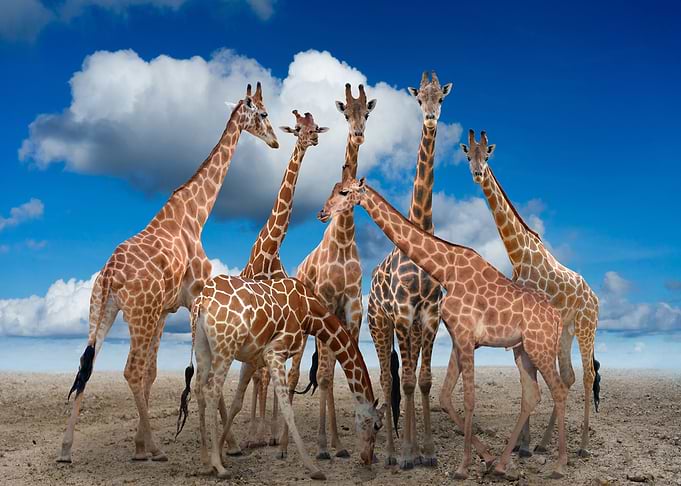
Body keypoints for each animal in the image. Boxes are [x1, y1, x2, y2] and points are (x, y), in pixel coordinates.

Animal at [57, 82, 279, 464]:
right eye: (263, 113)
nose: (276, 140)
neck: (195, 213)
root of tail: (109, 274)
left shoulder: (164, 311)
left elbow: (153, 373)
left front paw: (138, 445)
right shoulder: (193, 298)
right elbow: (197, 371)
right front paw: (228, 444)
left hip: (103, 311)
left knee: (88, 367)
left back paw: (67, 449)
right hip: (138, 313)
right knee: (129, 369)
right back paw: (159, 449)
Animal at [176, 276, 385, 480]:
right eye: (376, 425)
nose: (367, 458)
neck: (310, 312)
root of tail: (201, 301)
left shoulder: (253, 359)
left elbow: (237, 403)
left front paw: (222, 452)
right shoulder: (275, 352)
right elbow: (288, 408)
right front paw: (313, 468)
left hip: (203, 347)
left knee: (199, 390)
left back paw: (205, 463)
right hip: (226, 347)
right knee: (212, 391)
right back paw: (218, 468)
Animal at [237, 110, 329, 450]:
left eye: (315, 126)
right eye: (297, 128)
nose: (311, 138)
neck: (266, 257)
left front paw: (269, 433)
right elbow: (259, 376)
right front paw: (254, 435)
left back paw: (274, 433)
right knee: (259, 374)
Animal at [319, 178, 570, 479]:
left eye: (344, 192)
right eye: (333, 189)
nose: (322, 212)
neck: (445, 269)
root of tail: (558, 318)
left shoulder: (464, 335)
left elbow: (469, 398)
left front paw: (463, 467)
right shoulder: (457, 337)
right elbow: (445, 396)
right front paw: (485, 459)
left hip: (539, 346)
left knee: (559, 390)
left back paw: (559, 465)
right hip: (522, 350)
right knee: (532, 395)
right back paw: (502, 464)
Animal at [452, 129, 601, 457]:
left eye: (487, 155)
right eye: (468, 155)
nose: (478, 174)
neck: (518, 255)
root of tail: (595, 298)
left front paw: (524, 446)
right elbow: (526, 381)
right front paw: (524, 445)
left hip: (587, 326)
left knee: (587, 375)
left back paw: (584, 446)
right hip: (567, 329)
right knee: (569, 376)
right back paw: (546, 443)